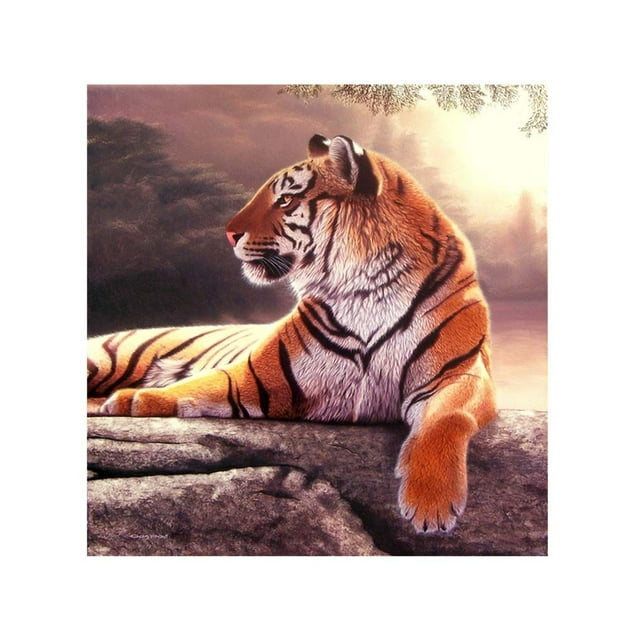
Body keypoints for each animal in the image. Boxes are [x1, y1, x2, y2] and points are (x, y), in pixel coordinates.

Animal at [88, 134, 497, 534]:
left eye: (285, 199)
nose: (229, 234)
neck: (366, 289)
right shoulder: (253, 377)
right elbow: (194, 387)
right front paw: (132, 400)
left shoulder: (460, 375)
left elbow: (445, 420)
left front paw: (431, 503)